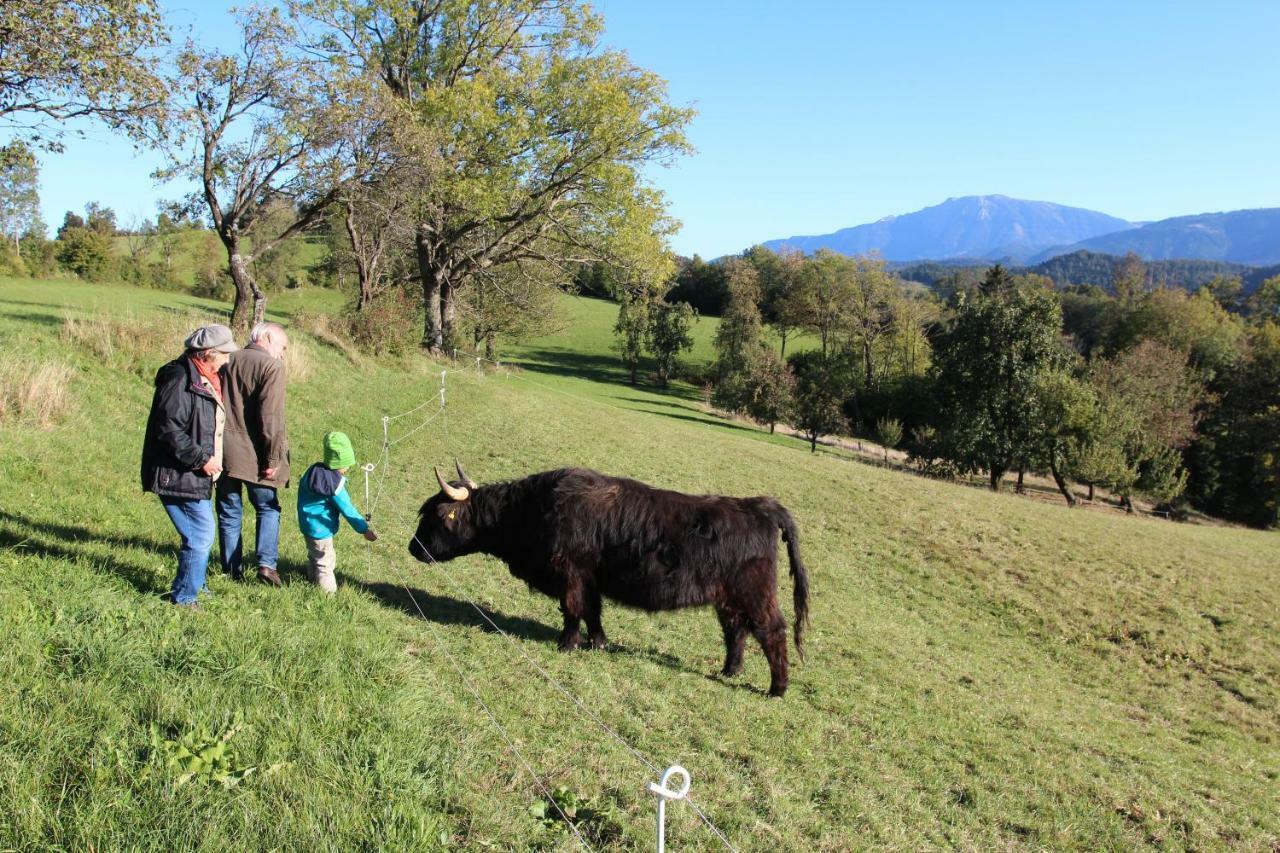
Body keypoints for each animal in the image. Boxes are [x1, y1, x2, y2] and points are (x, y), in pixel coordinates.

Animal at [409, 461, 808, 696]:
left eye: (436, 515)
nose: (413, 548)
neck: (533, 510)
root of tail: (759, 505)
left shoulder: (570, 573)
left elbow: (572, 610)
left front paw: (567, 644)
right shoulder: (590, 579)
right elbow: (593, 611)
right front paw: (598, 643)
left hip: (755, 592)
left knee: (771, 631)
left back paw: (777, 688)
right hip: (727, 597)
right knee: (736, 630)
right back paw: (730, 670)